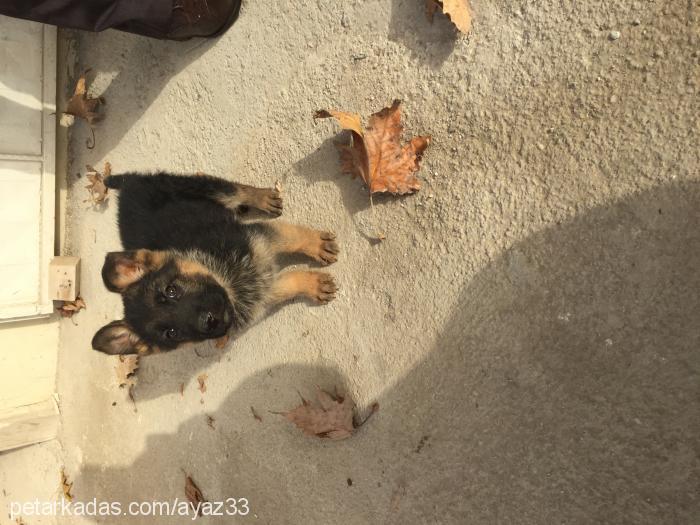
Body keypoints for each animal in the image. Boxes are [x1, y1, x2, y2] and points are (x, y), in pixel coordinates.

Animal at [91, 174, 340, 354]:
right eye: (171, 333)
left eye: (171, 290)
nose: (209, 322)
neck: (225, 277)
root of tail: (125, 188)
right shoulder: (259, 295)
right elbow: (286, 284)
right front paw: (314, 284)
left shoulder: (257, 236)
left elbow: (293, 236)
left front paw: (317, 245)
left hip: (195, 187)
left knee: (235, 189)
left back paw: (262, 197)